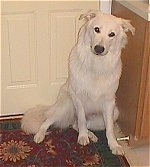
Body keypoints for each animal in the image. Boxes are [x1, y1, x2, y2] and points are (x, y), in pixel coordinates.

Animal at [20, 10, 134, 155]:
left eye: (112, 34)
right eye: (97, 29)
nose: (99, 49)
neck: (96, 66)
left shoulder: (109, 103)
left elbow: (109, 129)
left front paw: (113, 145)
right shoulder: (78, 98)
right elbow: (81, 119)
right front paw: (83, 137)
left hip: (113, 114)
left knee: (75, 124)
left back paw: (91, 135)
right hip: (66, 105)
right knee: (48, 121)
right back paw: (40, 135)